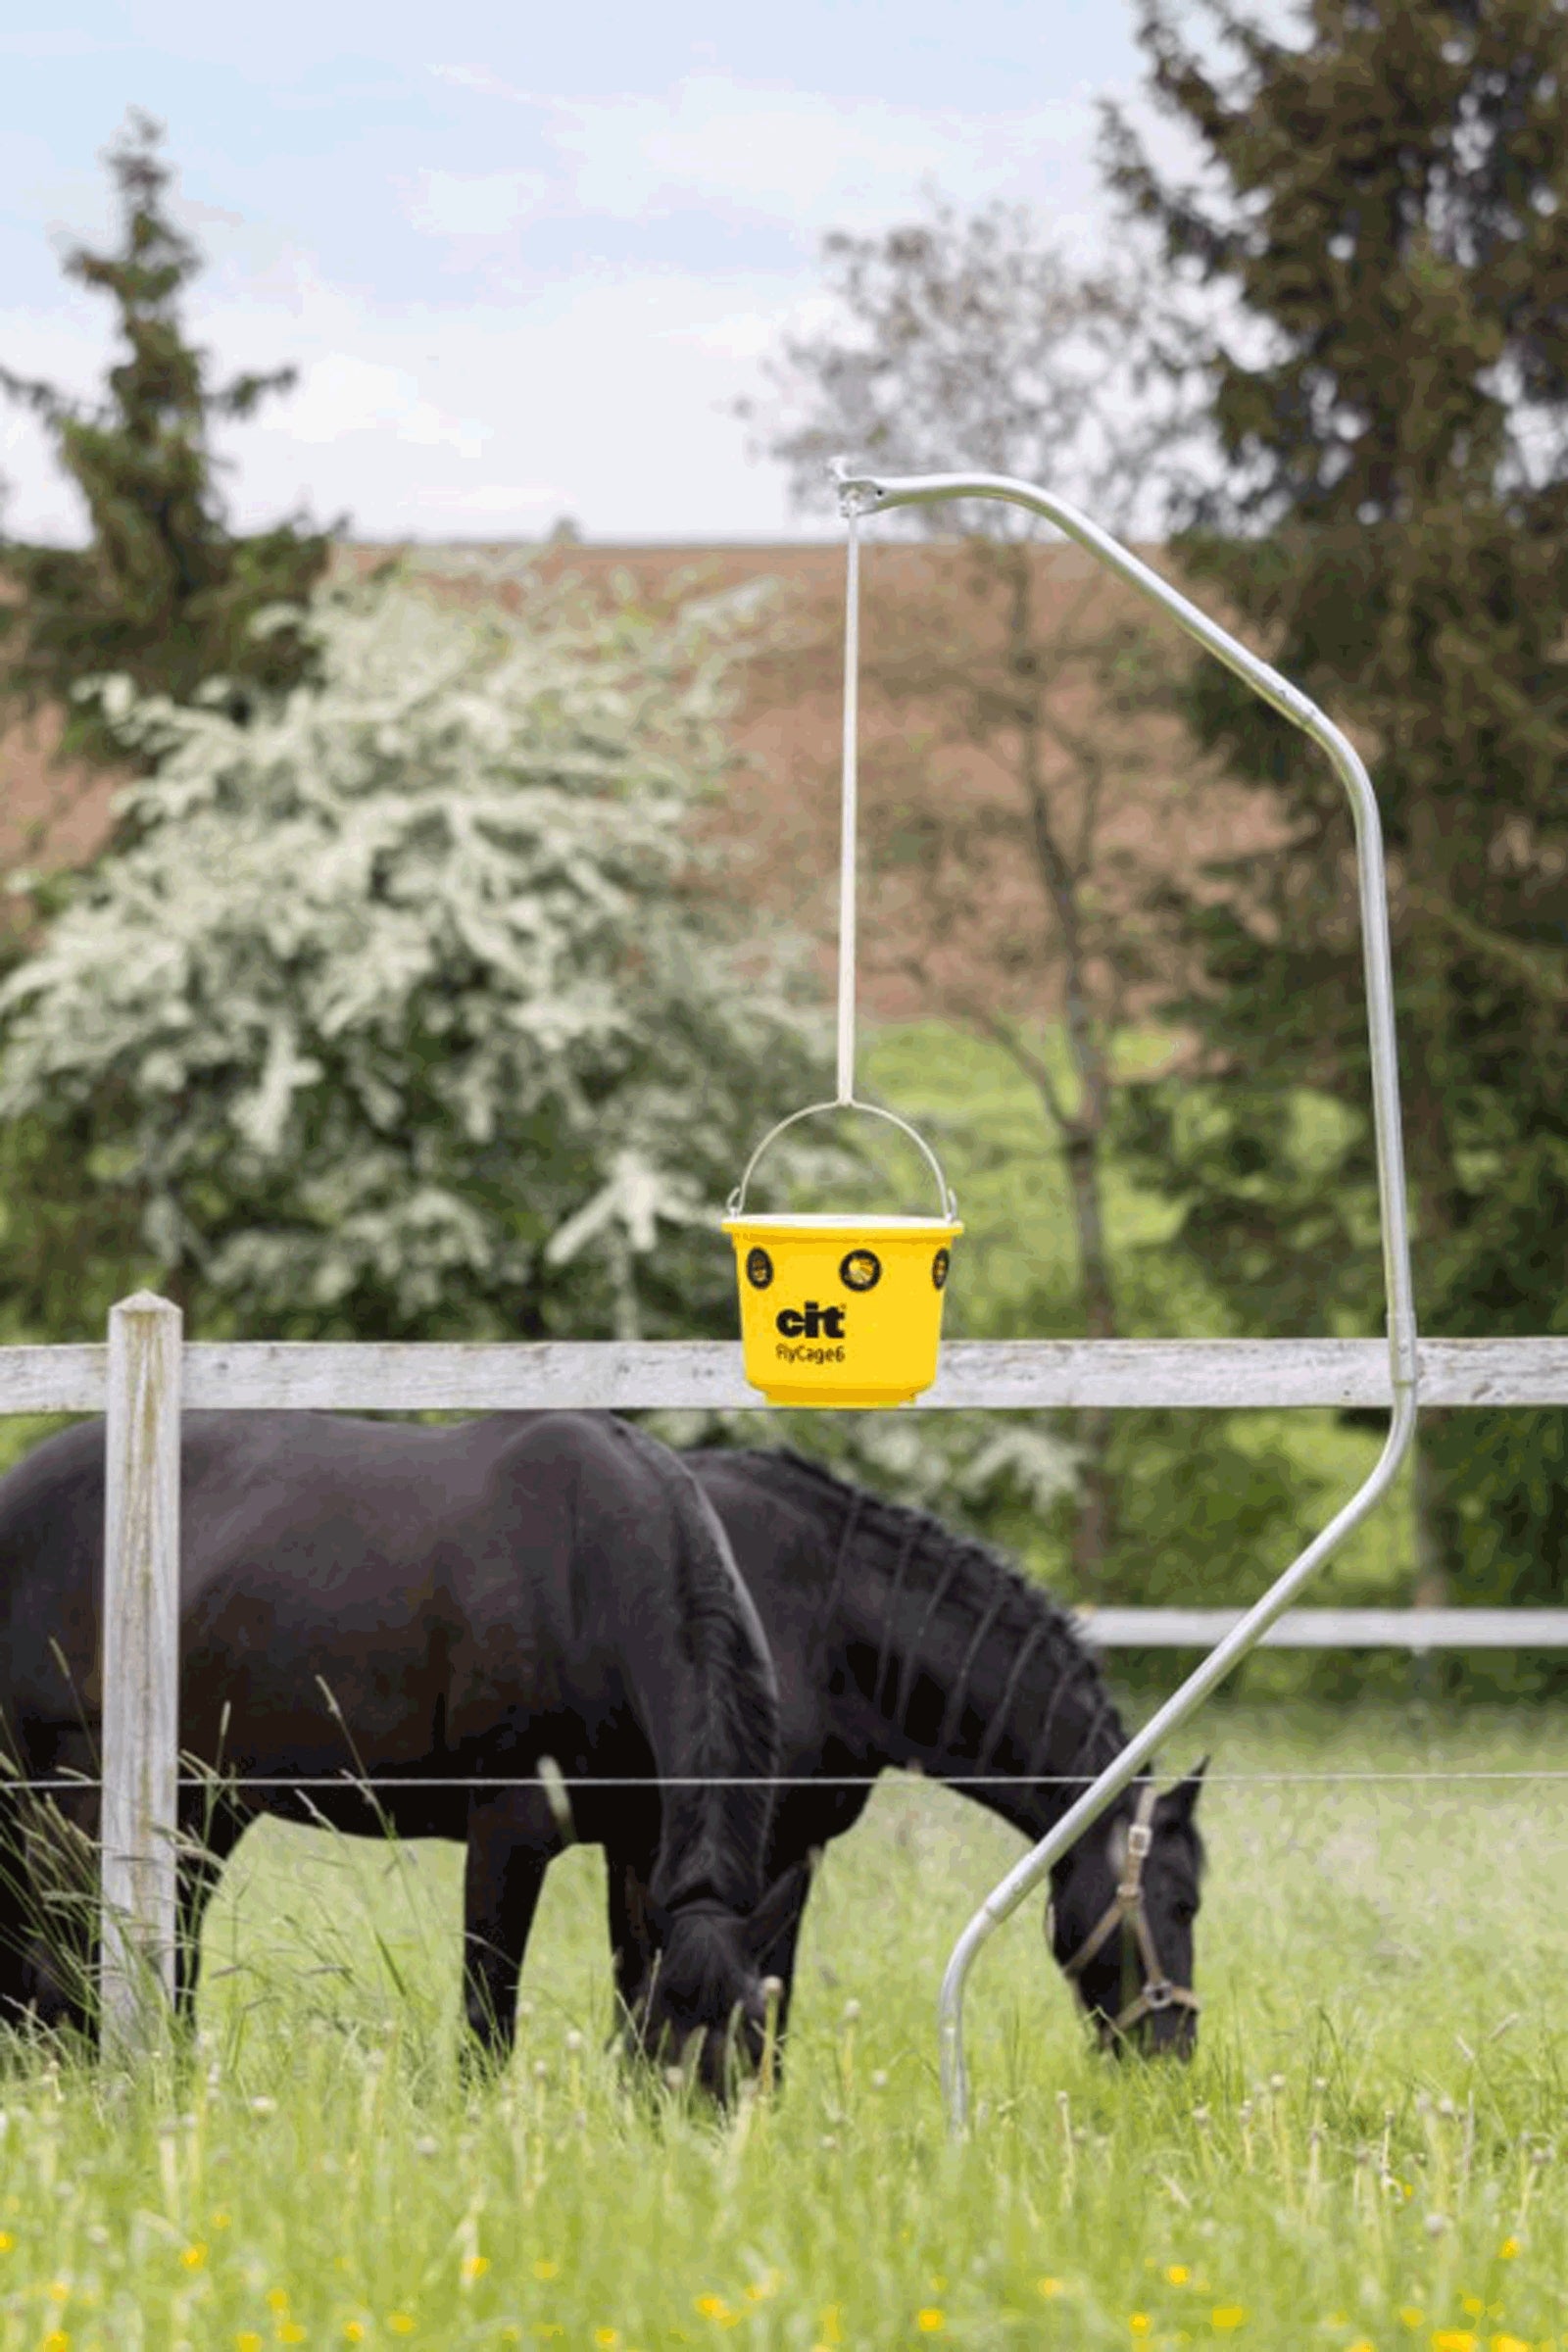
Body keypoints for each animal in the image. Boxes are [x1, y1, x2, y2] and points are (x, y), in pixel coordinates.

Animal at [0, 1409, 794, 2091]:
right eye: (675, 2052)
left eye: (755, 2048)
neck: (588, 1581)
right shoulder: (510, 1829)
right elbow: (487, 2006)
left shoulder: (637, 1841)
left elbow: (630, 1983)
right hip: (68, 1795)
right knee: (59, 1952)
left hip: (200, 1806)